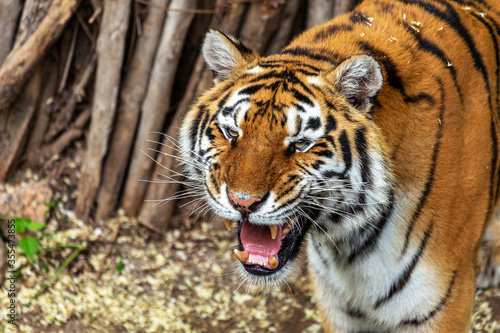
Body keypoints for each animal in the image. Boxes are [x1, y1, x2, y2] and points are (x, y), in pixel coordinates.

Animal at [178, 0, 500, 330]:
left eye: (300, 145)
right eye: (232, 133)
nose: (242, 202)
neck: (349, 240)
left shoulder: (441, 302)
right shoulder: (337, 302)